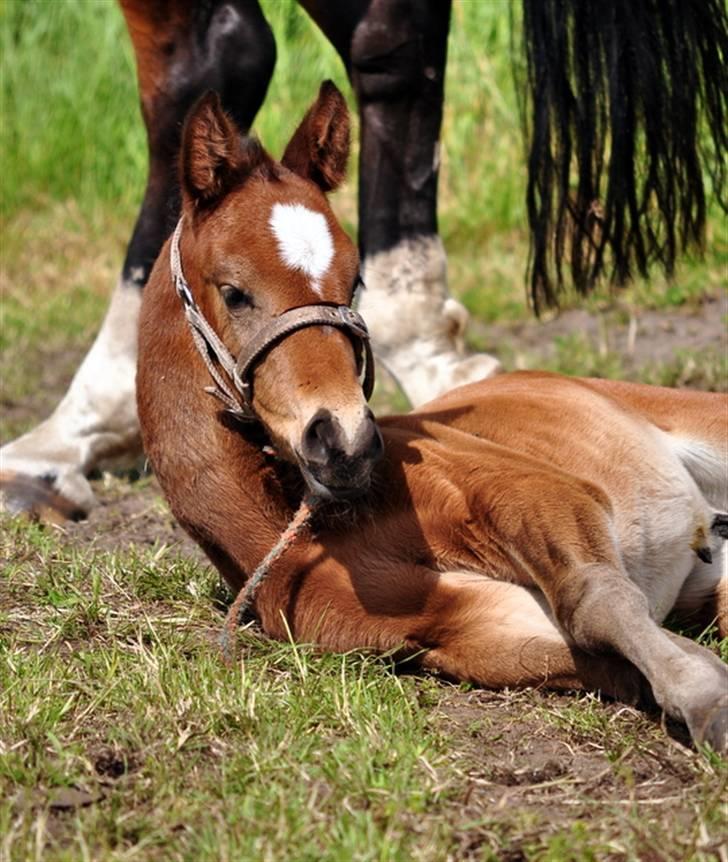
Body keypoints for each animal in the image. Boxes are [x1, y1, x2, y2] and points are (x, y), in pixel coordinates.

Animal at [138, 84, 728, 752]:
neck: (305, 528)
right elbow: (608, 643)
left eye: (354, 282)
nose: (343, 442)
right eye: (234, 292)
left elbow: (596, 595)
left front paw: (704, 698)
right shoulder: (479, 629)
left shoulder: (527, 488)